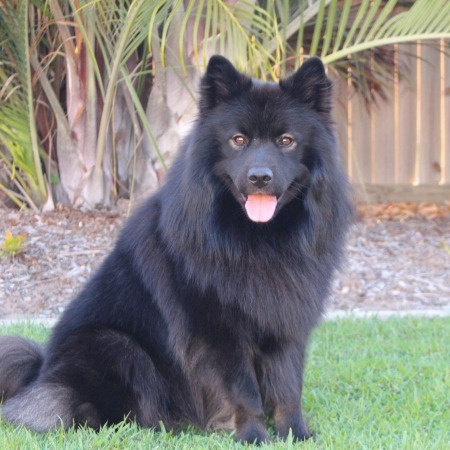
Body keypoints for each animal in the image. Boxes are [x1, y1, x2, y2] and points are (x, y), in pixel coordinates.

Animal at [0, 55, 352, 442]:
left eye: (286, 140)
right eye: (239, 140)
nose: (260, 177)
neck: (258, 241)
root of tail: (41, 371)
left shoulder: (286, 322)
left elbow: (289, 387)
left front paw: (295, 433)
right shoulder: (220, 331)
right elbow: (244, 390)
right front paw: (253, 436)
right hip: (114, 344)